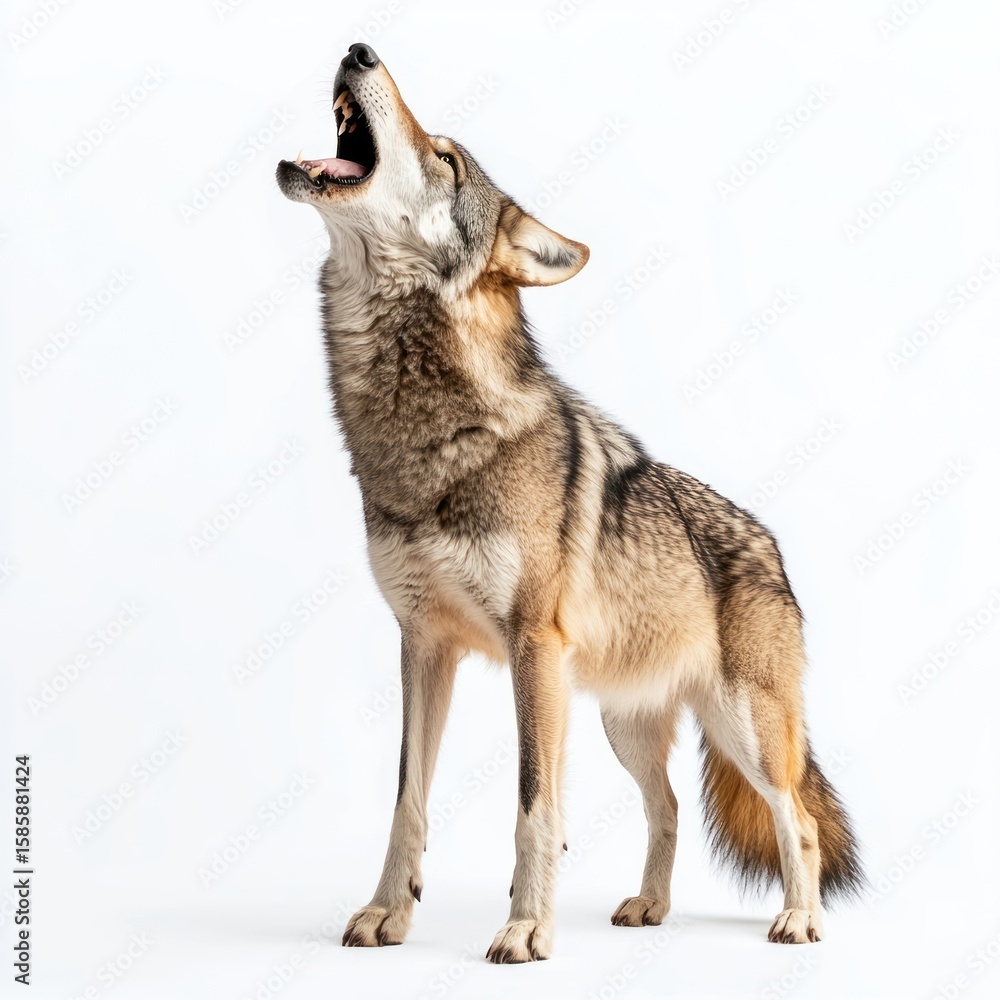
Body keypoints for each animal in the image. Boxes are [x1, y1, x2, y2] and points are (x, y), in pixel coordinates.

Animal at [276, 43, 863, 963]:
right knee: (669, 809)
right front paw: (387, 914)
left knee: (796, 819)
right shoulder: (422, 647)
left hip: (744, 730)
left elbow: (532, 807)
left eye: (446, 158)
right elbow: (408, 800)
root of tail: (772, 546)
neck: (420, 435)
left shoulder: (531, 649)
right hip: (623, 725)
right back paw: (649, 908)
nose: (359, 50)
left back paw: (799, 920)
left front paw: (525, 928)